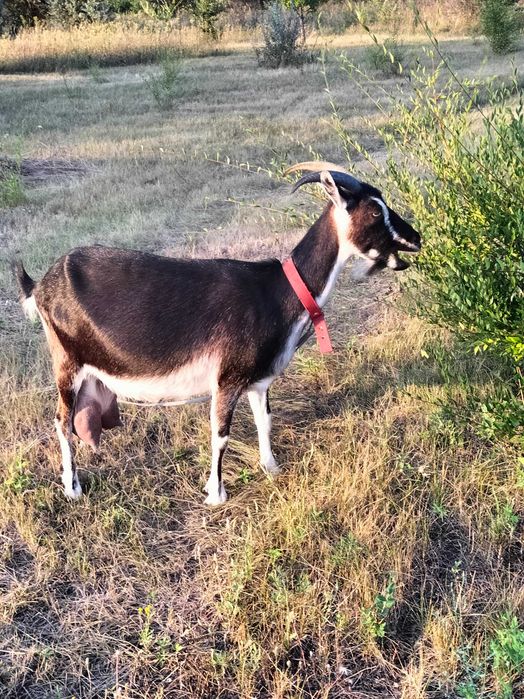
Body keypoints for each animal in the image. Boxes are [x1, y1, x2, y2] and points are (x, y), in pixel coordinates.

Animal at [14, 165, 421, 505]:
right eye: (375, 212)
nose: (415, 237)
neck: (278, 291)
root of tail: (41, 285)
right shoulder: (226, 378)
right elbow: (220, 434)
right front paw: (215, 494)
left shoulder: (257, 381)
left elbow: (264, 420)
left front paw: (271, 468)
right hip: (66, 362)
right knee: (61, 421)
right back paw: (72, 488)